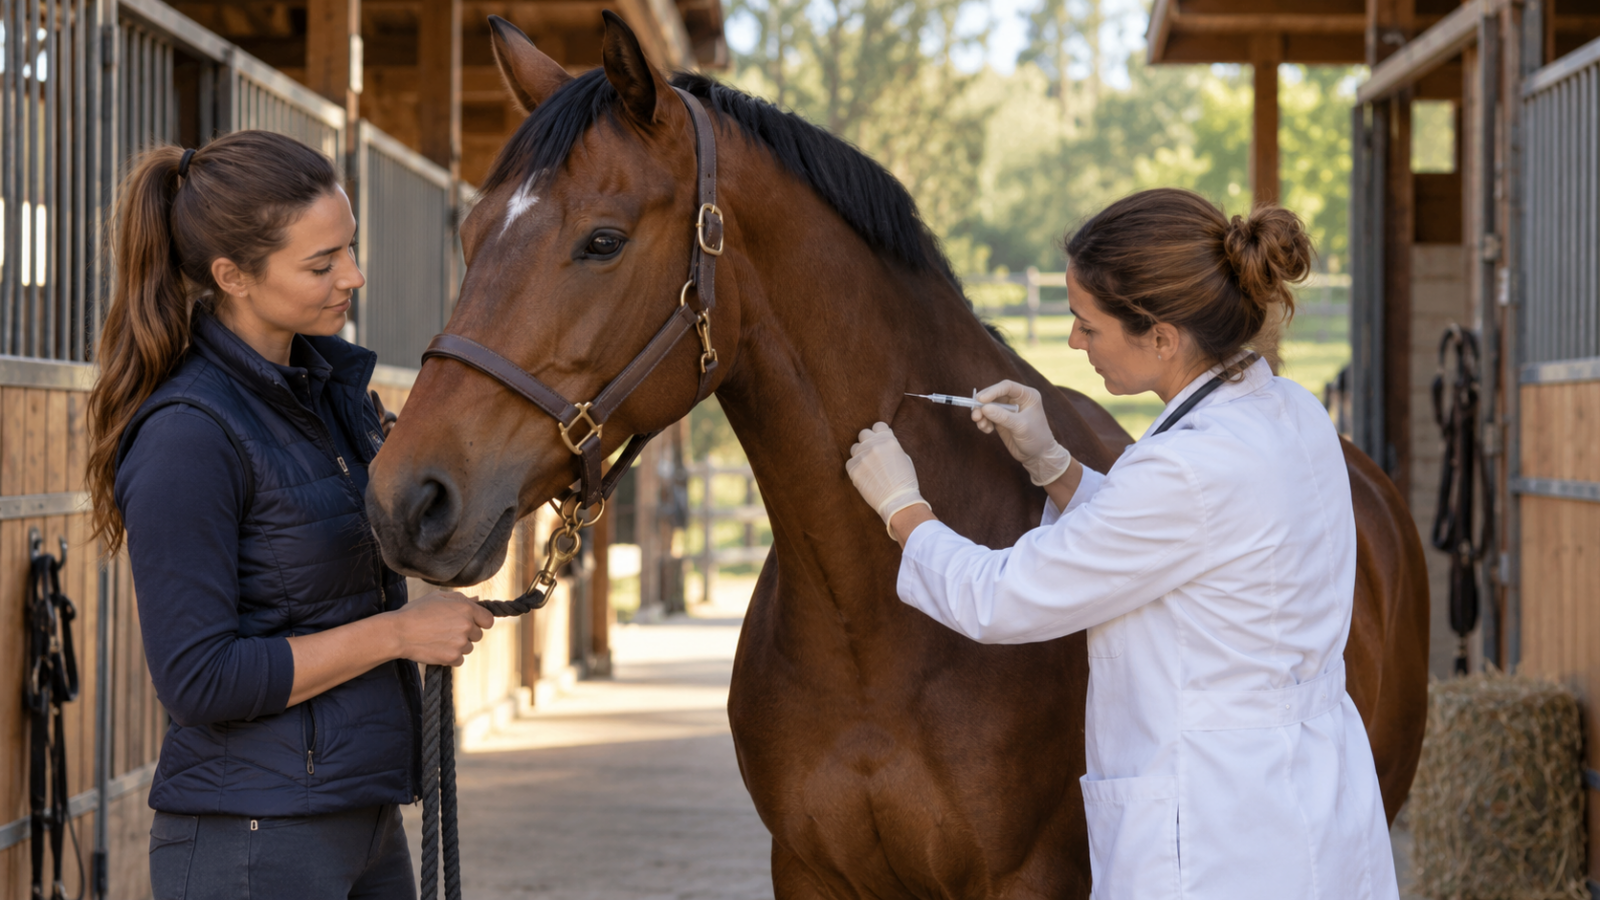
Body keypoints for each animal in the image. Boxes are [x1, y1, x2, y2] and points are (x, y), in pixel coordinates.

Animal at [365, 14, 1429, 897]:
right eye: (469, 230)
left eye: (602, 239)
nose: (407, 498)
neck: (870, 629)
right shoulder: (809, 872)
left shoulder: (1026, 882)